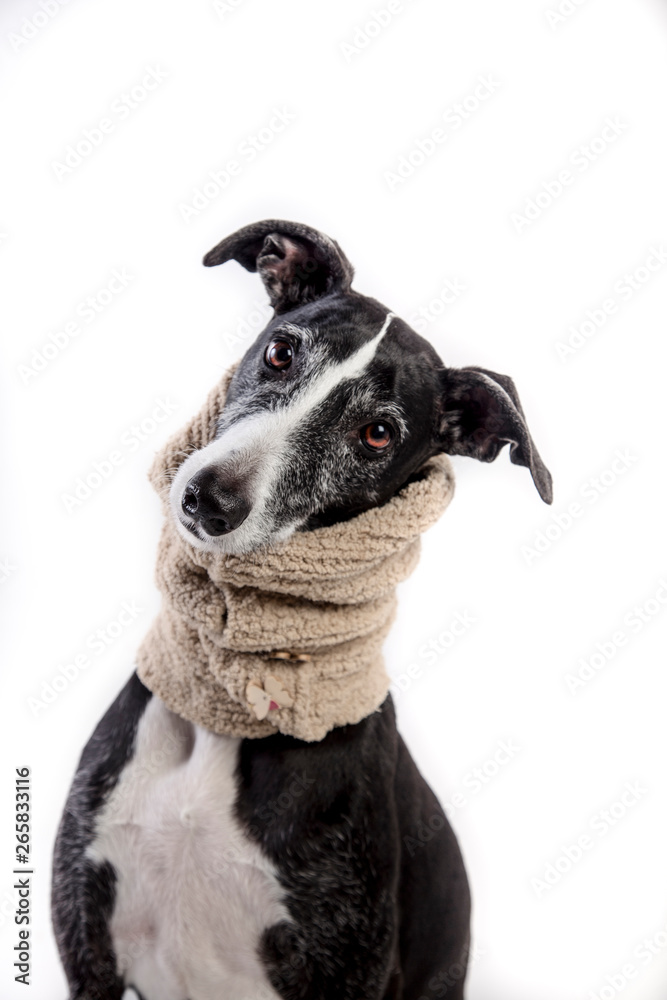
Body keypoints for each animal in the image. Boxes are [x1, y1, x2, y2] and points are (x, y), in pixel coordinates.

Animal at [51, 221, 552, 1000]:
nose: (207, 498)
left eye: (377, 433)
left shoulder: (343, 966)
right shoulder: (89, 955)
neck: (222, 716)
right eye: (281, 351)